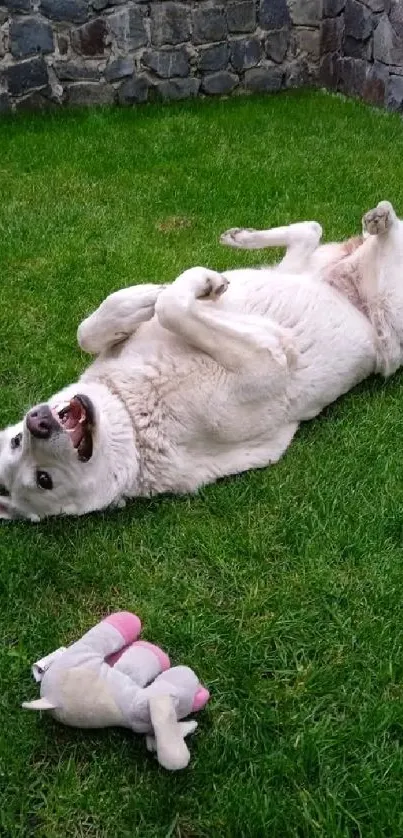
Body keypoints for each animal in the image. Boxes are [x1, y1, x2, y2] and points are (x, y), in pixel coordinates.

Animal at [1, 200, 402, 520]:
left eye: (16, 440)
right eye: (43, 479)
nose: (37, 422)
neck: (132, 412)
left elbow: (90, 330)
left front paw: (145, 298)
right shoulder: (266, 362)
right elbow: (171, 307)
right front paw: (191, 286)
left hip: (293, 271)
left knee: (311, 230)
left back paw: (244, 237)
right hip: (391, 319)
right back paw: (381, 222)